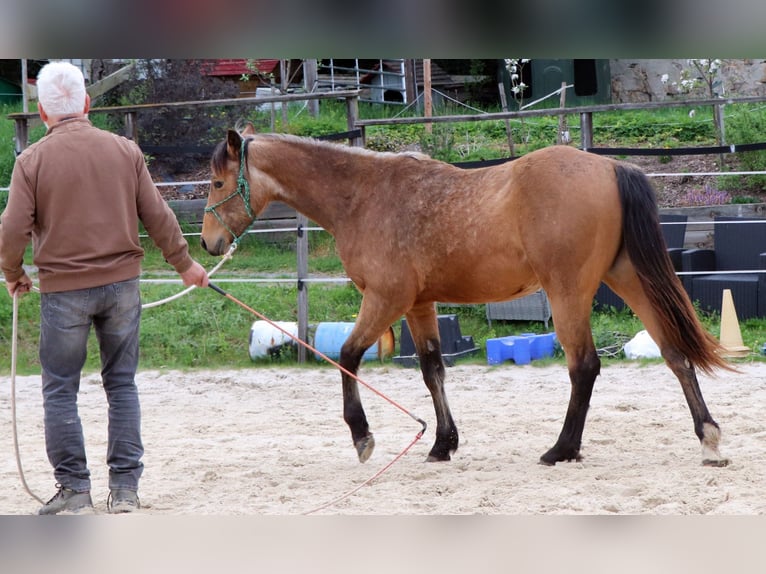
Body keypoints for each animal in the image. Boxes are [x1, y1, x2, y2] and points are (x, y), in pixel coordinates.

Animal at [200, 124, 732, 468]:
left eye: (217, 181)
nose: (208, 243)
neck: (365, 196)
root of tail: (609, 166)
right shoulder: (418, 304)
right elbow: (432, 370)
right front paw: (443, 444)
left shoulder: (385, 299)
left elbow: (349, 356)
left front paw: (362, 436)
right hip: (629, 280)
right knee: (675, 352)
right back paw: (707, 437)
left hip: (569, 293)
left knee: (584, 366)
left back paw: (561, 449)